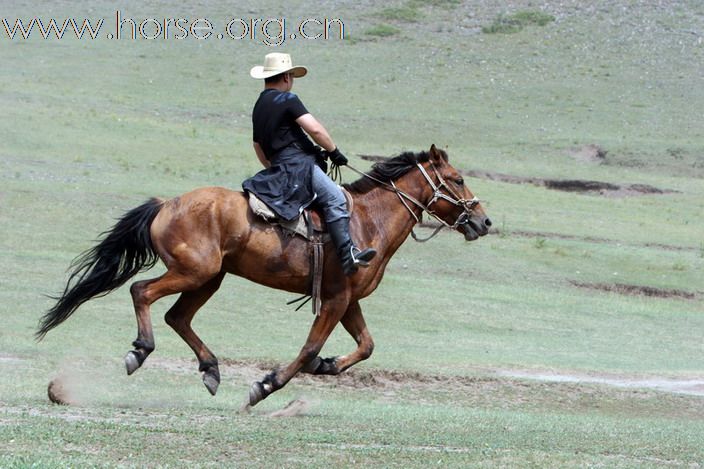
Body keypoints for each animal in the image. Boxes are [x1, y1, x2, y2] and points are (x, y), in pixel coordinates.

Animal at [37, 144, 490, 406]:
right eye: (458, 179)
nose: (484, 221)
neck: (368, 219)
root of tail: (167, 203)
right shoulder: (336, 299)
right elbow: (309, 349)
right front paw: (266, 385)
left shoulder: (348, 301)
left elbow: (365, 346)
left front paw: (328, 365)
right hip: (193, 272)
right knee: (142, 292)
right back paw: (140, 351)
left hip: (209, 279)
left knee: (177, 316)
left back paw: (211, 369)